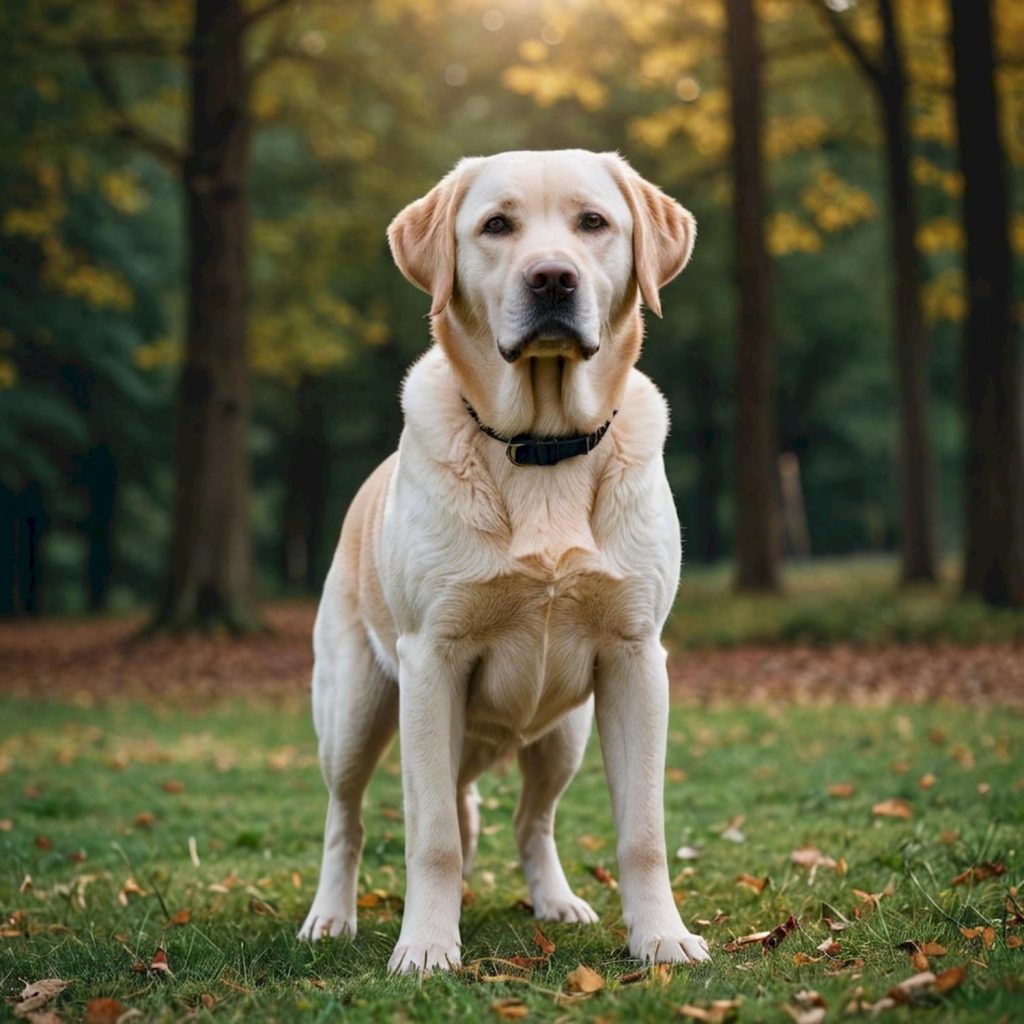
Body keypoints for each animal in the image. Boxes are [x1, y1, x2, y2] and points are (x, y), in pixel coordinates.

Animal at [299, 148, 708, 970]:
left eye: (593, 222)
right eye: (496, 226)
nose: (552, 278)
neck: (544, 446)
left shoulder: (637, 661)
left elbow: (643, 833)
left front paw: (661, 937)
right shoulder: (432, 662)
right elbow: (430, 839)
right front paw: (426, 948)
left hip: (564, 733)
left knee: (530, 819)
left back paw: (556, 900)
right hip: (355, 710)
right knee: (347, 819)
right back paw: (331, 916)